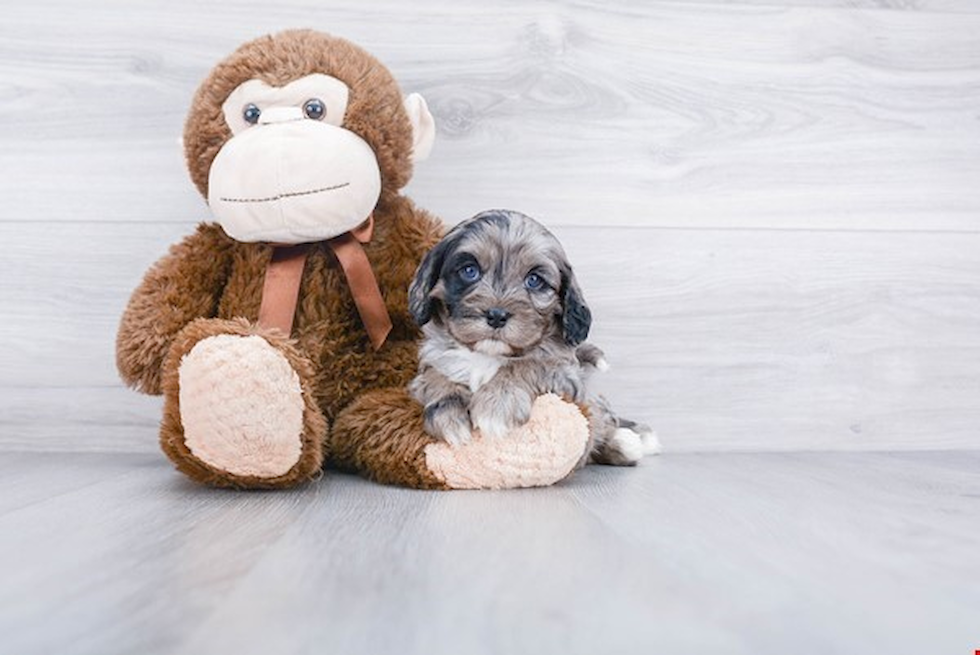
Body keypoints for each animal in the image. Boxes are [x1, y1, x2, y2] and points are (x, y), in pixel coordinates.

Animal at [406, 210, 660, 466]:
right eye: (469, 271)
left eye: (534, 280)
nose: (496, 315)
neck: (489, 354)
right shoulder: (432, 362)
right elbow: (437, 376)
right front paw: (448, 411)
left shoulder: (565, 374)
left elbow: (526, 365)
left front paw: (497, 403)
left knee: (602, 419)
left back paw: (623, 443)